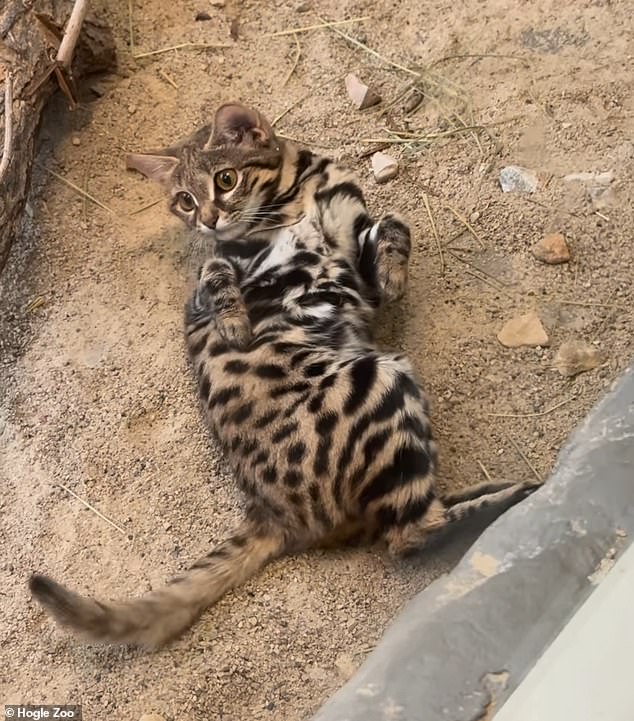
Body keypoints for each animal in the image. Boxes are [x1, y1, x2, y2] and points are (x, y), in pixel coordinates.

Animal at [29, 101, 540, 648]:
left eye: (225, 179)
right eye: (184, 201)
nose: (207, 221)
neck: (294, 200)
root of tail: (270, 512)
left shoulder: (353, 239)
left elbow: (395, 222)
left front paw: (394, 273)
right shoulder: (224, 264)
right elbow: (214, 276)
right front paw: (233, 322)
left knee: (406, 521)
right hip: (380, 382)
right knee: (407, 534)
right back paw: (511, 496)